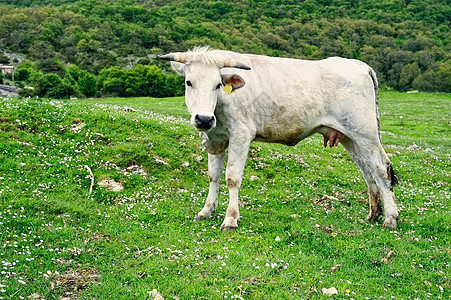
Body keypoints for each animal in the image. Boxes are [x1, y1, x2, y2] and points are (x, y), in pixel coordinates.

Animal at [160, 47, 400, 231]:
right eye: (189, 82)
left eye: (218, 84)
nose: (203, 119)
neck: (218, 108)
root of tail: (360, 65)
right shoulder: (215, 138)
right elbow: (213, 176)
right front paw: (207, 210)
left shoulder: (241, 134)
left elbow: (232, 177)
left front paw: (230, 219)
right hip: (350, 137)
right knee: (367, 171)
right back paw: (374, 214)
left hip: (365, 132)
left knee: (381, 168)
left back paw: (390, 219)